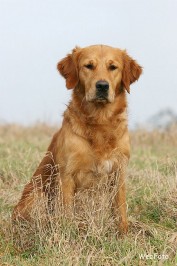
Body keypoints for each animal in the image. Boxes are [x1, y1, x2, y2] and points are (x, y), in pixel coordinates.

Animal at [12, 45, 142, 233]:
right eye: (88, 66)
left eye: (113, 67)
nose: (102, 86)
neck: (100, 121)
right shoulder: (67, 175)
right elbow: (67, 210)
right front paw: (68, 231)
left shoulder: (118, 173)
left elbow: (120, 208)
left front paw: (123, 233)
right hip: (38, 195)